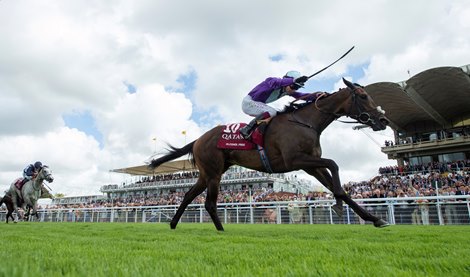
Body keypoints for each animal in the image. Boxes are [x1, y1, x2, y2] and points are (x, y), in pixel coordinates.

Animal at [150, 77, 390, 229]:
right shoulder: (296, 160)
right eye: (363, 95)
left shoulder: (311, 165)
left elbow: (336, 182)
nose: (383, 120)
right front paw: (339, 204)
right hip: (214, 173)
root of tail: (198, 139)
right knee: (208, 202)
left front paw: (374, 219)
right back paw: (220, 229)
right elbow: (334, 164)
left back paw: (173, 224)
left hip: (207, 173)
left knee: (189, 195)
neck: (305, 122)